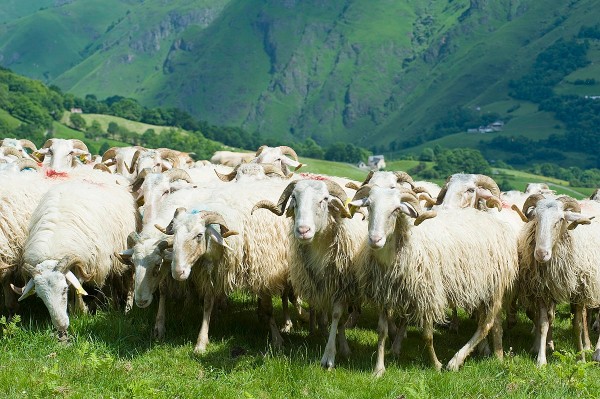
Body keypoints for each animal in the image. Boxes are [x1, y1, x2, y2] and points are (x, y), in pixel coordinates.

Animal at [16, 177, 139, 340]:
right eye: (41, 297)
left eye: (64, 290)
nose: (61, 326)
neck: (52, 250)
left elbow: (77, 287)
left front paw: (81, 311)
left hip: (122, 252)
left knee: (126, 278)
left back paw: (125, 308)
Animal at [250, 180, 364, 370]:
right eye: (294, 198)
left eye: (324, 199)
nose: (303, 230)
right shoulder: (316, 283)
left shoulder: (343, 287)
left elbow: (337, 317)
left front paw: (331, 355)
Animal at [350, 185, 516, 376]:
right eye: (369, 206)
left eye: (396, 210)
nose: (375, 240)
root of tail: (490, 219)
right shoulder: (386, 294)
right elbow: (382, 332)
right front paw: (379, 368)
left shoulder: (428, 295)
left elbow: (427, 336)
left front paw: (436, 364)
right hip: (479, 288)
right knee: (491, 323)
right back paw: (494, 353)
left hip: (494, 286)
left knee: (486, 324)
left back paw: (456, 361)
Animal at [510, 194, 600, 366]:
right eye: (535, 217)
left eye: (560, 219)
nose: (541, 253)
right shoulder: (542, 290)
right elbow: (543, 323)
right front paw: (541, 358)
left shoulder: (579, 292)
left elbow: (577, 325)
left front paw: (581, 358)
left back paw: (595, 351)